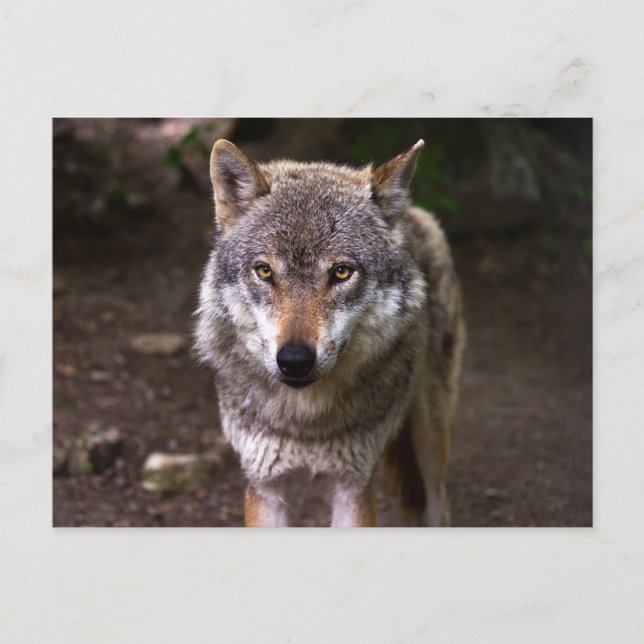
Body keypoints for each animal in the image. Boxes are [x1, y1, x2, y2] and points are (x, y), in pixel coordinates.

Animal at [195, 138, 464, 527]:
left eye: (341, 272)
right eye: (264, 271)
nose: (294, 360)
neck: (306, 421)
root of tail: (412, 212)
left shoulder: (353, 485)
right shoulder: (264, 485)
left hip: (430, 439)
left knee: (439, 505)